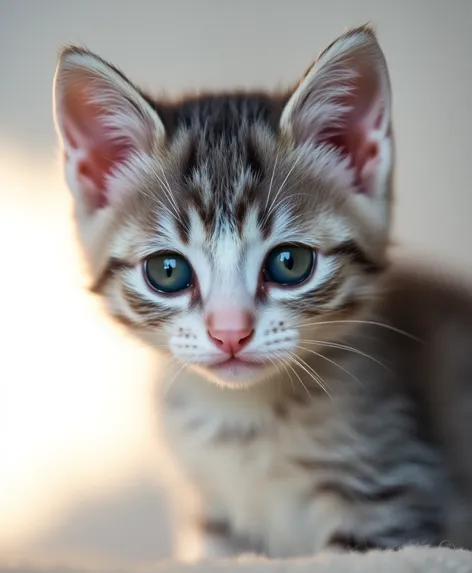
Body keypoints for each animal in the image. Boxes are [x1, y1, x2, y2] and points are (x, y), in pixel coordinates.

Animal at [51, 23, 472, 560]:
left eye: (290, 263)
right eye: (167, 271)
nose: (230, 332)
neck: (242, 426)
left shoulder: (394, 495)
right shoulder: (216, 519)